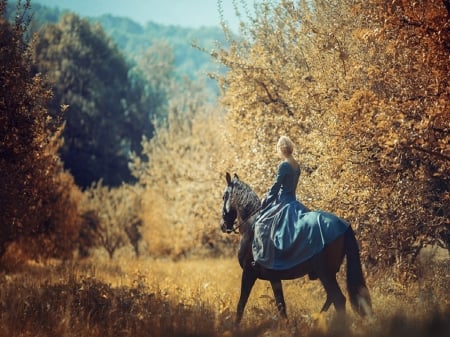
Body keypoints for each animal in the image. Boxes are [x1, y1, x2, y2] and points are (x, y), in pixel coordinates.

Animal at [220, 172, 370, 324]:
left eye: (224, 196)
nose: (223, 225)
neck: (250, 225)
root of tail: (344, 225)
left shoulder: (249, 273)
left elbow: (241, 304)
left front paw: (236, 326)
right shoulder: (273, 277)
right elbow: (281, 305)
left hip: (325, 273)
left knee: (338, 299)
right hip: (330, 273)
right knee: (331, 298)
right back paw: (315, 320)